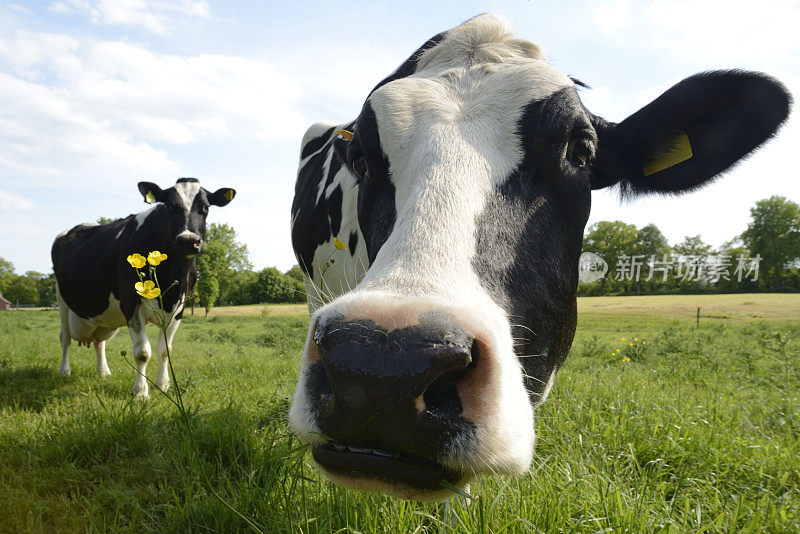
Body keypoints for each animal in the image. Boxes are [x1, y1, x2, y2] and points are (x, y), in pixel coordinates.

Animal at [51, 179, 234, 398]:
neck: (172, 276)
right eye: (169, 206)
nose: (189, 241)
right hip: (61, 300)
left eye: (205, 208)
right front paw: (140, 392)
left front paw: (163, 384)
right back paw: (64, 371)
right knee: (65, 338)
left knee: (99, 342)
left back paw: (103, 372)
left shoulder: (179, 306)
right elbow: (142, 353)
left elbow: (165, 350)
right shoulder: (131, 303)